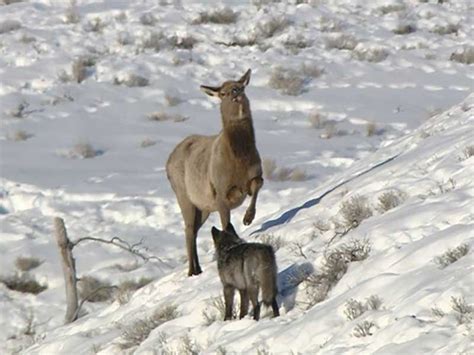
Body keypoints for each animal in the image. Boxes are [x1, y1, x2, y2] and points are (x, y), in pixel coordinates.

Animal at [166, 68, 262, 276]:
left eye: (241, 87)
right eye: (223, 93)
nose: (235, 93)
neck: (239, 160)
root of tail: (167, 162)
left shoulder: (255, 174)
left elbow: (257, 185)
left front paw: (248, 218)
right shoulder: (219, 191)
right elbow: (226, 225)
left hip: (203, 207)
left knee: (194, 230)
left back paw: (198, 268)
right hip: (183, 196)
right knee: (188, 229)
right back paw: (192, 271)